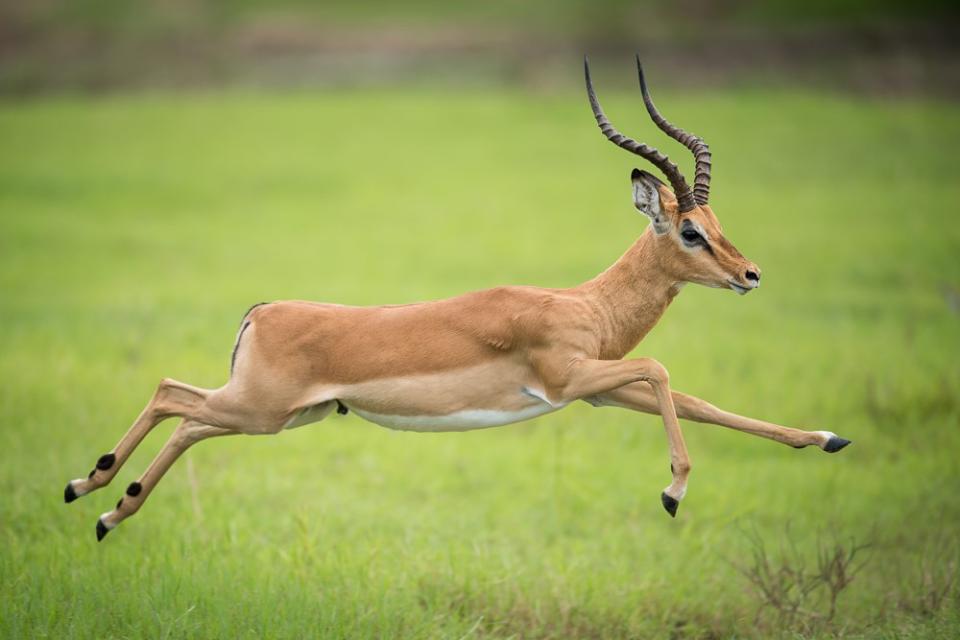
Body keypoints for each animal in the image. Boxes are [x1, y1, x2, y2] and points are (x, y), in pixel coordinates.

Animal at [65, 57, 850, 541]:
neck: (585, 307)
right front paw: (673, 493)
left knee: (186, 415)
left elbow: (698, 400)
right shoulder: (571, 380)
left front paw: (826, 437)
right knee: (172, 394)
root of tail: (262, 311)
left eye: (717, 223)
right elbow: (663, 372)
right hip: (260, 410)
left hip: (285, 415)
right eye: (689, 231)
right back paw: (88, 490)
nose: (750, 274)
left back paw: (105, 508)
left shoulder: (601, 390)